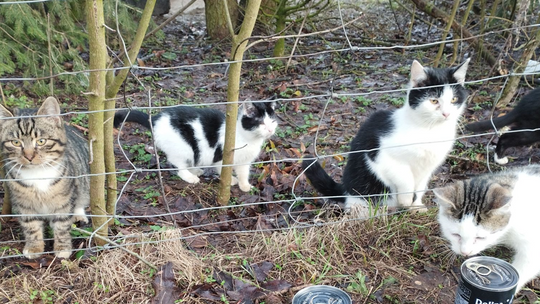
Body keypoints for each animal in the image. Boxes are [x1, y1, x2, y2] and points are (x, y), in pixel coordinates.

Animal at [0, 98, 89, 258]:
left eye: (41, 141)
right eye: (16, 142)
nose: (29, 156)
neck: (37, 174)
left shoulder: (63, 201)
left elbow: (62, 225)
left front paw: (62, 248)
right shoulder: (24, 204)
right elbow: (31, 226)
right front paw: (34, 247)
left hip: (83, 178)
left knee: (81, 197)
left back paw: (79, 214)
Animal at [112, 102, 276, 192]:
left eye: (273, 121)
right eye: (261, 123)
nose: (270, 130)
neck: (247, 137)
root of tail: (157, 119)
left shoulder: (244, 162)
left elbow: (243, 173)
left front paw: (244, 185)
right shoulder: (222, 156)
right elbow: (222, 169)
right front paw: (230, 180)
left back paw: (196, 171)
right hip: (182, 147)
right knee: (177, 165)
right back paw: (190, 177)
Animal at [302, 58, 470, 210]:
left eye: (454, 99)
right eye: (434, 101)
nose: (446, 114)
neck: (429, 129)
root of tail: (345, 188)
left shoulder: (428, 167)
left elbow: (420, 186)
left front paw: (416, 206)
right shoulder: (381, 156)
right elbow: (405, 179)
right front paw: (406, 200)